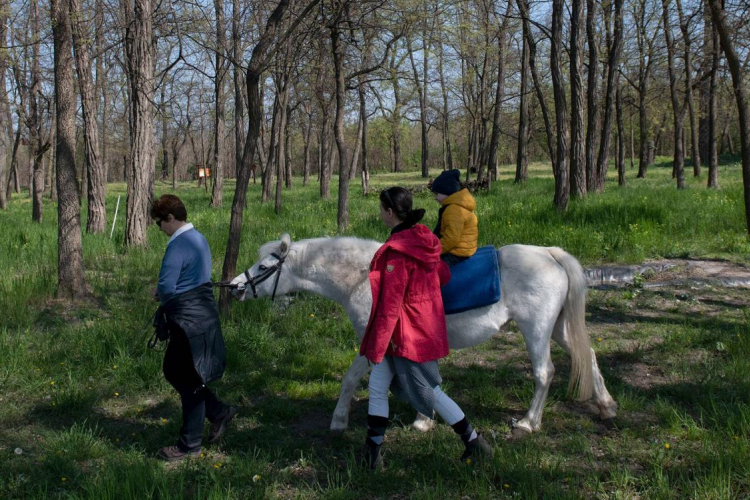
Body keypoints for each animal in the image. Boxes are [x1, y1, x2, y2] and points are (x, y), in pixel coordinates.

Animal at [232, 232, 620, 436]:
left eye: (264, 266)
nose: (235, 287)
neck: (364, 278)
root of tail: (550, 255)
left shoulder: (374, 342)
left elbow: (352, 379)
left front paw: (339, 421)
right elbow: (418, 378)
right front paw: (424, 418)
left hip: (536, 331)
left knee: (544, 373)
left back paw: (528, 422)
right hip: (559, 329)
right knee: (587, 356)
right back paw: (606, 406)